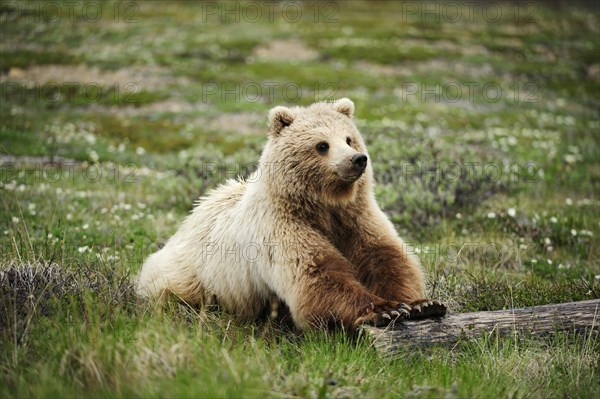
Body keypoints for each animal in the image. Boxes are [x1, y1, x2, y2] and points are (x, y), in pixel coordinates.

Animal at [137, 98, 446, 330]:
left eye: (350, 139)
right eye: (322, 144)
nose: (357, 160)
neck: (324, 206)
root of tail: (188, 219)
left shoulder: (358, 218)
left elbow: (387, 257)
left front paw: (422, 304)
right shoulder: (282, 227)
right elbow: (317, 274)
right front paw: (382, 310)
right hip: (193, 274)